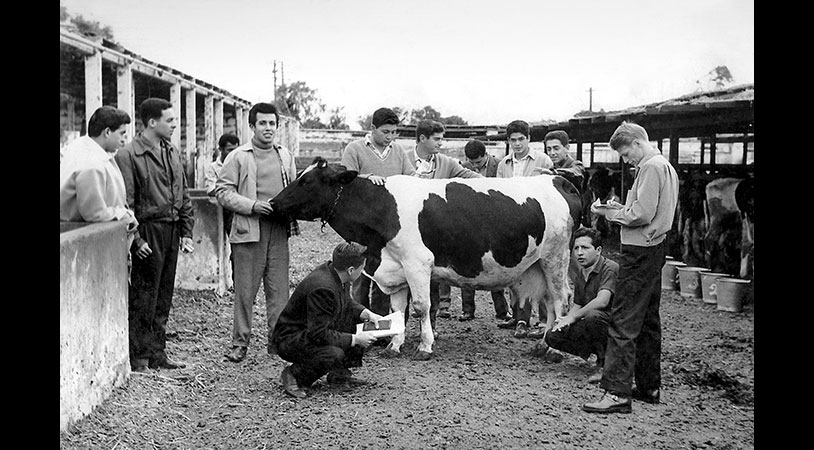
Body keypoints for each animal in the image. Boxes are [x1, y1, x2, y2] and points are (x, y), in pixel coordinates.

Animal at [270, 156, 584, 360]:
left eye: (306, 180)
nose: (274, 202)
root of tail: (557, 179)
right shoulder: (395, 268)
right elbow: (397, 309)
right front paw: (394, 346)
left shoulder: (417, 263)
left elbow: (421, 307)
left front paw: (424, 347)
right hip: (539, 264)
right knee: (551, 303)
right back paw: (543, 345)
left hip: (556, 257)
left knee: (561, 300)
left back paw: (553, 349)